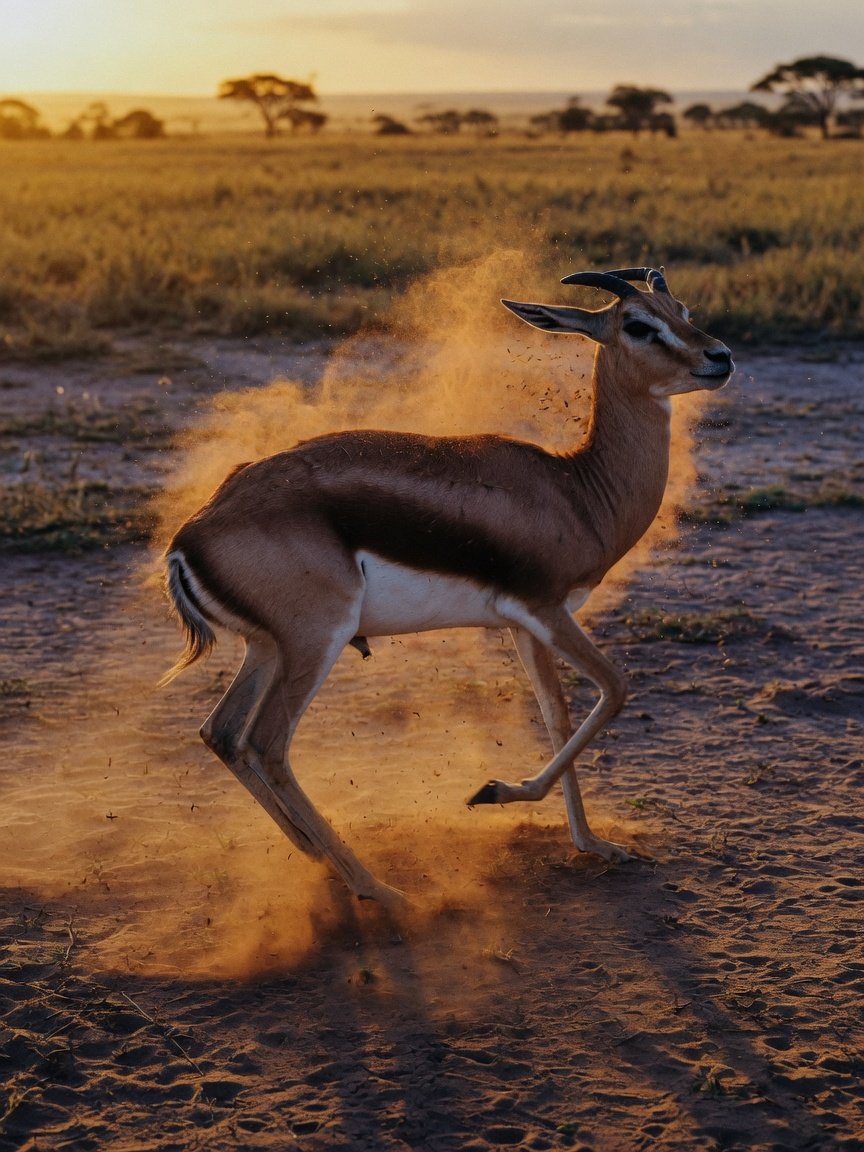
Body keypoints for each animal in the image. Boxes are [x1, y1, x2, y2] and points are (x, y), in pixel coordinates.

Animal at [161, 267, 733, 907]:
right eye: (637, 324)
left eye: (683, 310)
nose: (720, 357)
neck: (576, 492)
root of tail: (191, 534)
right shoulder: (546, 610)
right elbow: (615, 688)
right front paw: (491, 792)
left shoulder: (525, 625)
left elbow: (556, 717)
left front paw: (593, 845)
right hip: (316, 641)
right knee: (265, 744)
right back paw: (379, 890)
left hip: (267, 649)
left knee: (222, 733)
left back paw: (319, 861)